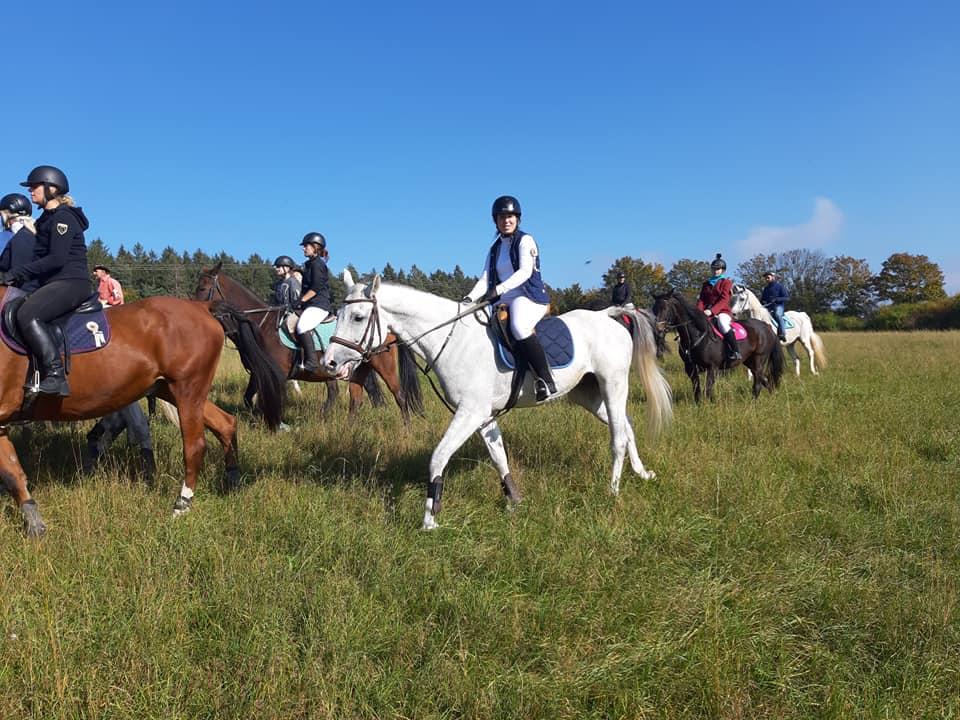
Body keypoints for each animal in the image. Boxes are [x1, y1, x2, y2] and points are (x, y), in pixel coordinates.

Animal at [0, 290, 284, 537]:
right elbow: (13, 472)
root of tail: (202, 307)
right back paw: (233, 482)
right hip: (170, 390)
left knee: (195, 446)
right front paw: (34, 523)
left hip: (187, 389)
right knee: (225, 423)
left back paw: (182, 505)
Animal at [194, 263, 423, 422]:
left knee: (398, 395)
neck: (260, 324)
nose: (195, 312)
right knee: (356, 396)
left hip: (383, 365)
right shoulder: (259, 372)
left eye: (203, 288)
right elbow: (248, 399)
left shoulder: (276, 372)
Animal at [322, 271, 673, 531]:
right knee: (626, 425)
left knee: (617, 437)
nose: (329, 363)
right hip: (588, 394)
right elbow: (499, 457)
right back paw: (642, 473)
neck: (453, 340)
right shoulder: (483, 415)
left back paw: (612, 491)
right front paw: (514, 501)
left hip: (613, 385)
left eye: (357, 317)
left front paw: (430, 519)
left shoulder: (470, 412)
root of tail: (608, 316)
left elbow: (438, 457)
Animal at [652, 290, 784, 403]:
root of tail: (766, 326)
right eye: (653, 309)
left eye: (665, 308)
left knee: (757, 382)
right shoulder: (690, 368)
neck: (696, 334)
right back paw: (773, 395)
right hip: (749, 361)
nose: (657, 330)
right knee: (763, 379)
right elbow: (697, 389)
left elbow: (708, 390)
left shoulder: (712, 368)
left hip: (759, 360)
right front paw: (699, 406)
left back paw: (753, 404)